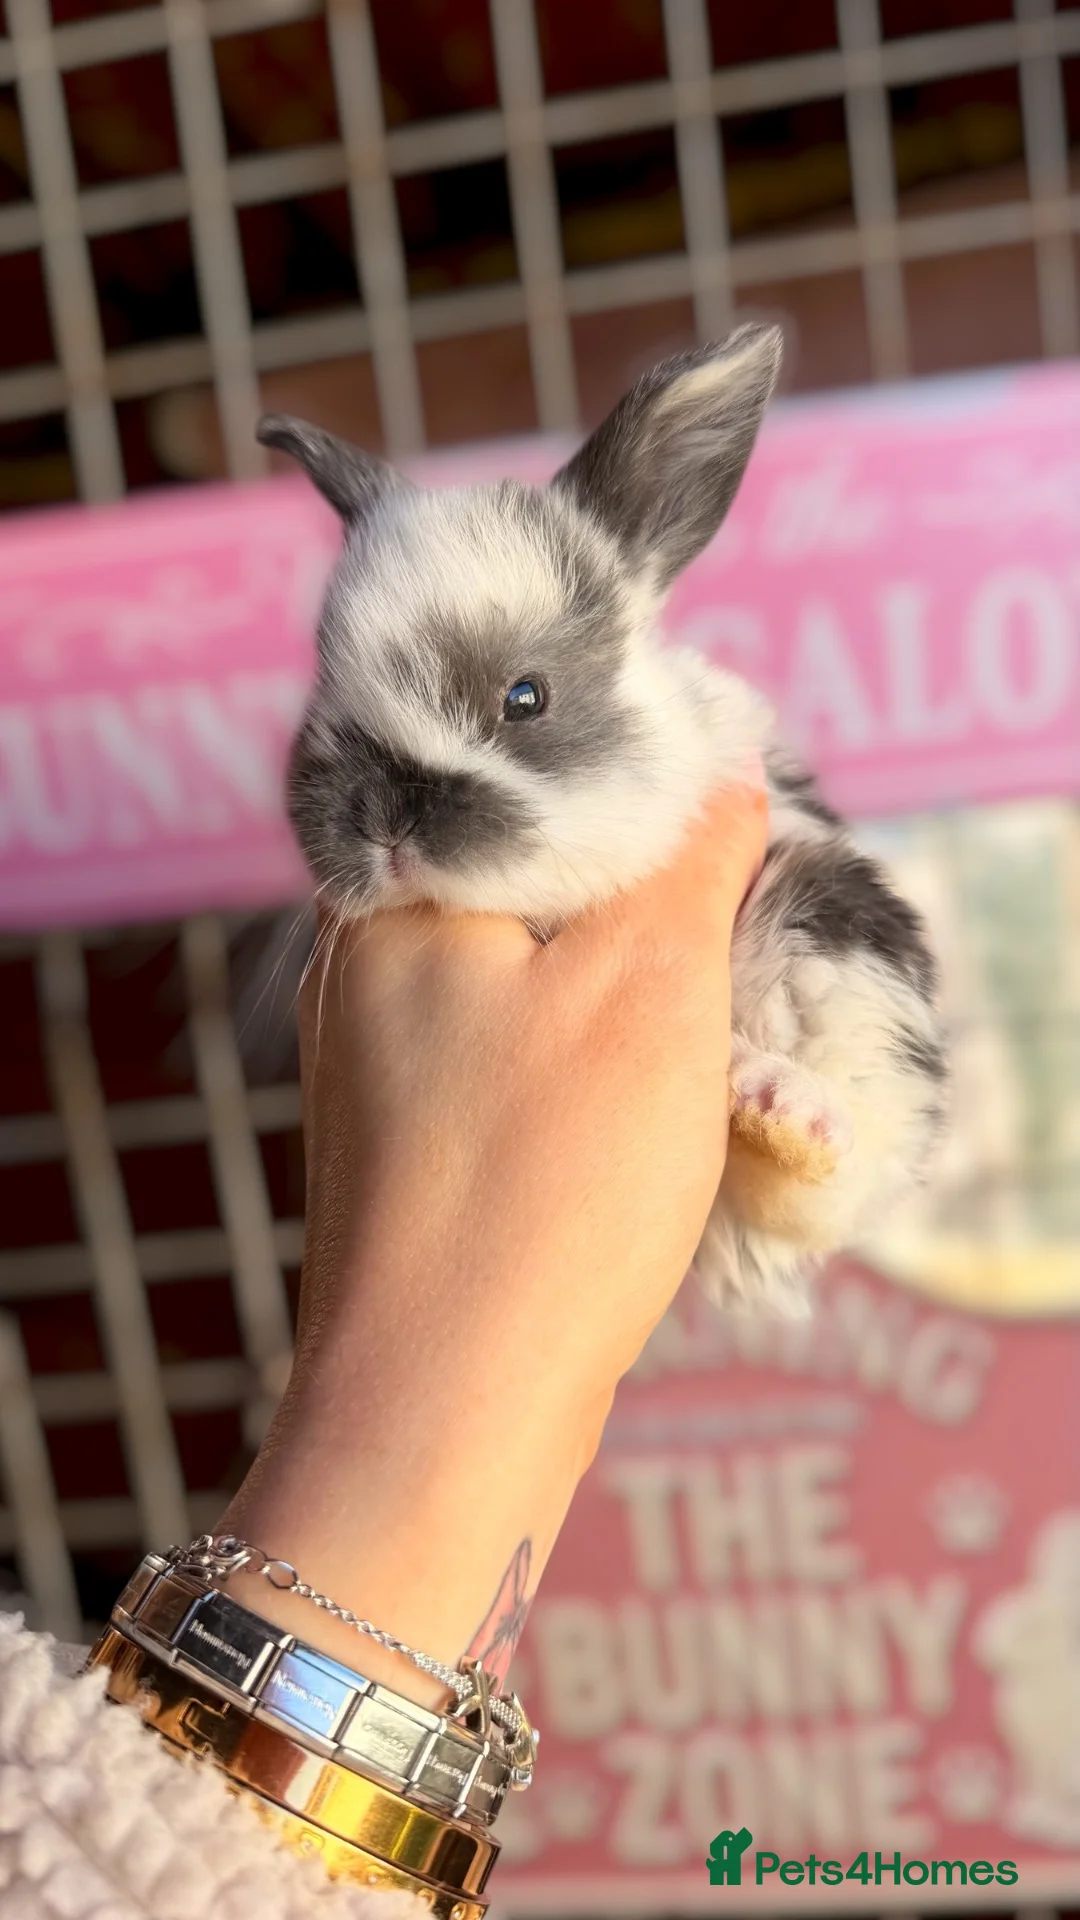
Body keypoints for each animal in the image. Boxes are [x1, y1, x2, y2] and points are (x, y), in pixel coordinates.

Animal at [259, 322, 948, 1314]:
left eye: (525, 697)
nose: (384, 829)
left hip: (839, 940)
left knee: (829, 1179)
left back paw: (782, 1108)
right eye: (321, 699)